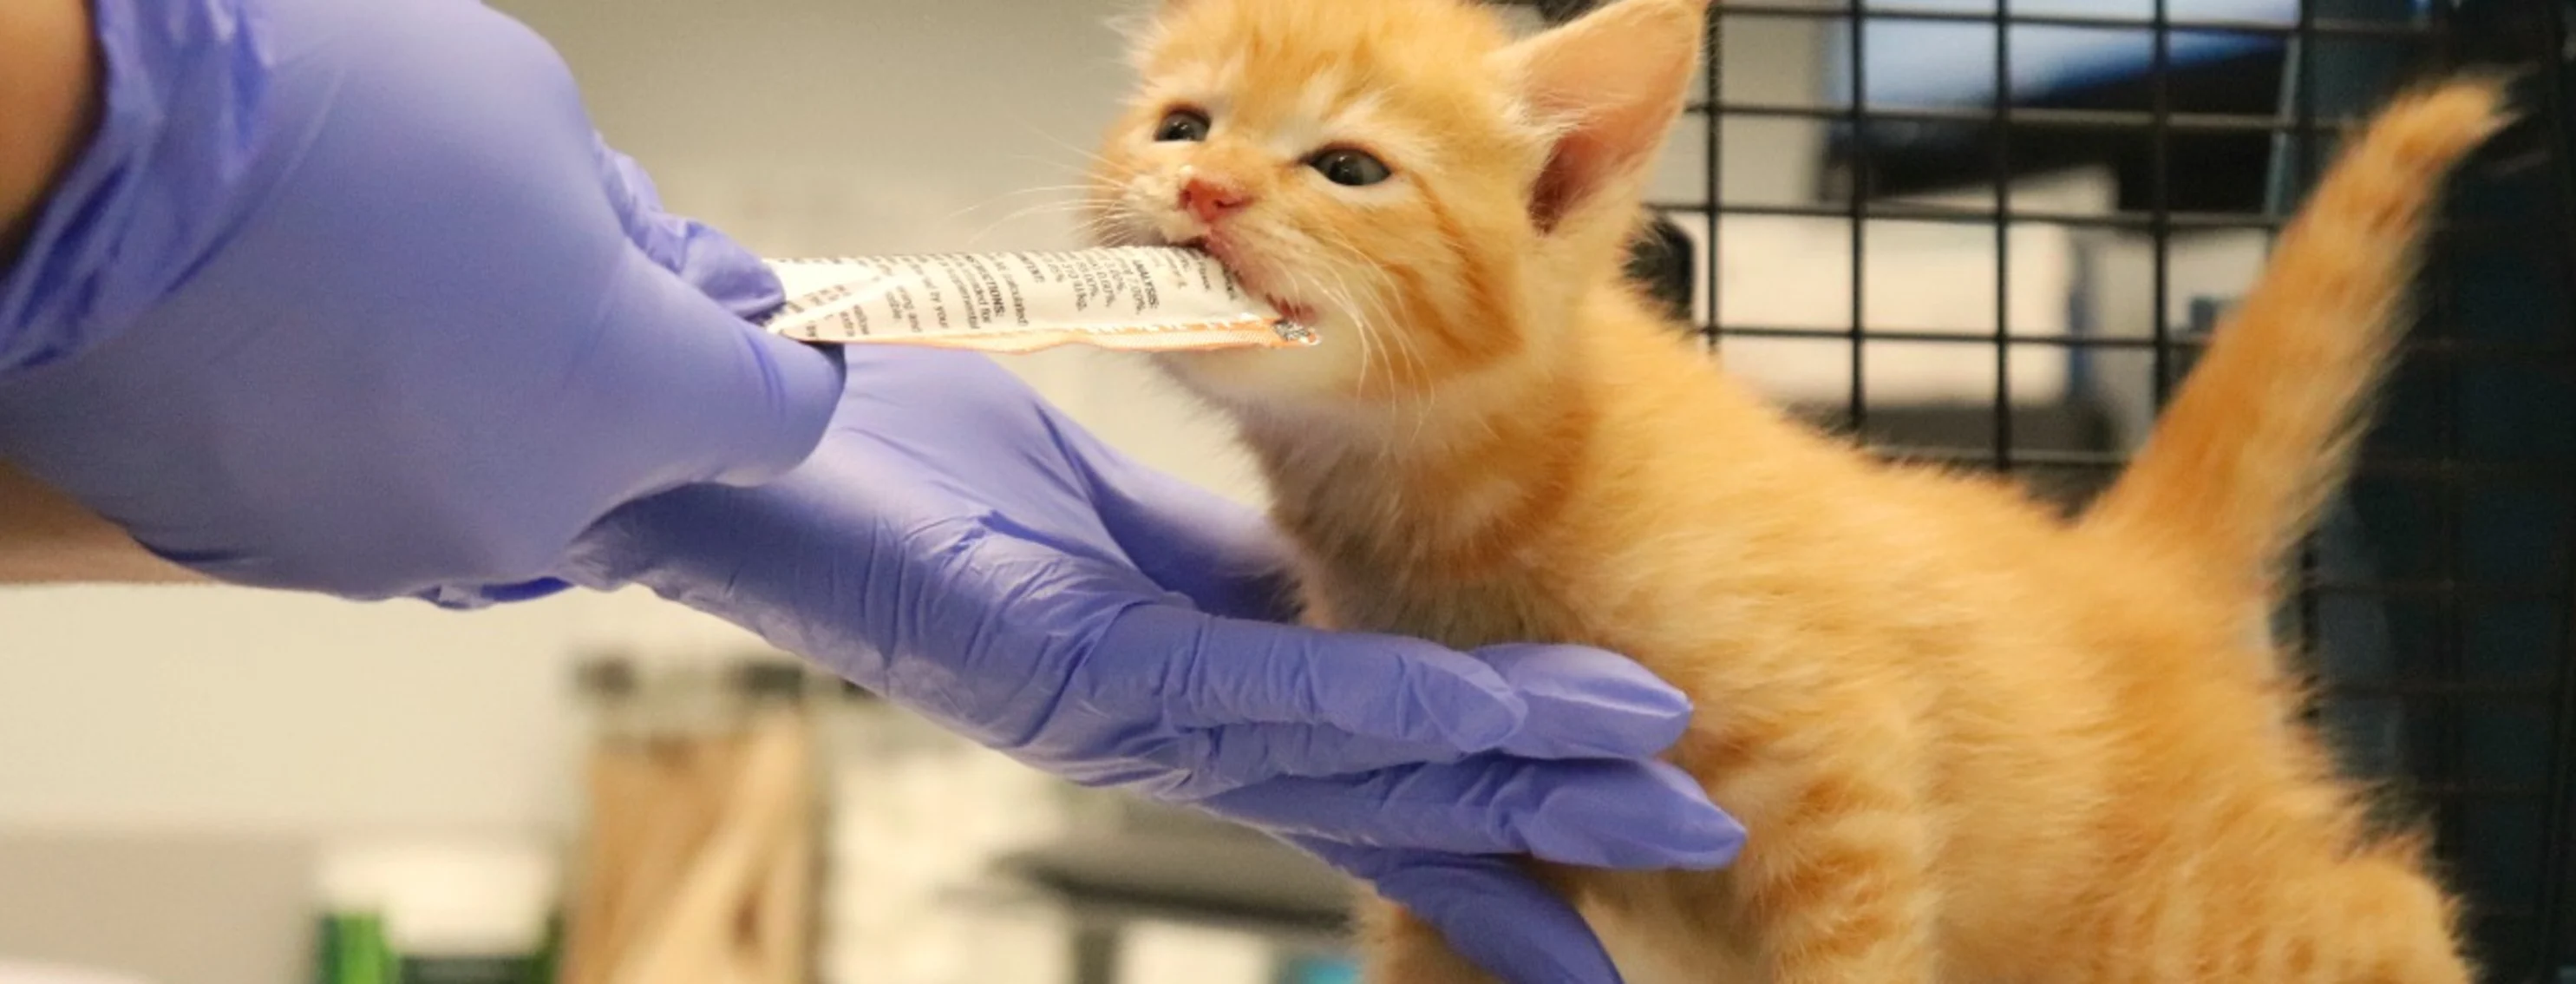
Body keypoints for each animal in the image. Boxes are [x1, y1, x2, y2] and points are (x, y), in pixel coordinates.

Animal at [1082, 3, 2493, 979]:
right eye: (1183, 125)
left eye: (1349, 169)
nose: (1205, 186)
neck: (1448, 505)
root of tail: (2125, 557)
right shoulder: (1448, 838)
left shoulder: (1838, 771)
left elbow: (1850, 948)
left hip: (2166, 923)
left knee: (2387, 906)